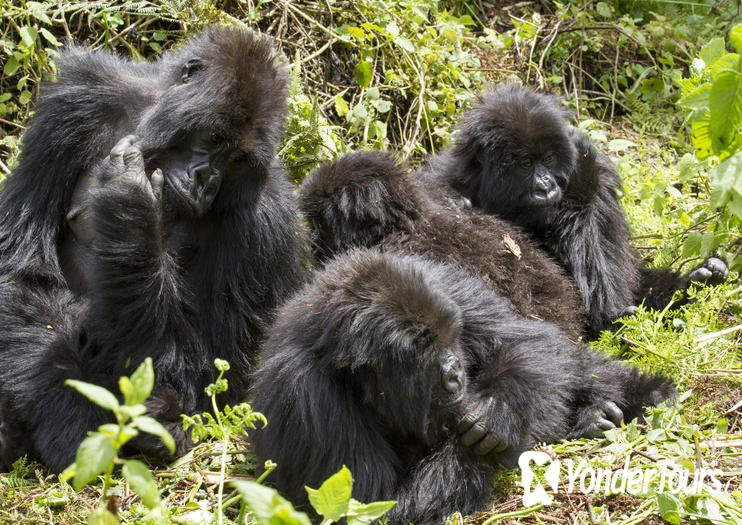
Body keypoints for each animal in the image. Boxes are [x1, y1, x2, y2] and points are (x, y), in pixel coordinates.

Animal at [0, 27, 306, 470]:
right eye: (214, 138)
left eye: (237, 159)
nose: (206, 180)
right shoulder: (79, 100)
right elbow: (20, 272)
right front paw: (65, 406)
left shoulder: (268, 221)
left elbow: (208, 379)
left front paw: (130, 211)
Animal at [253, 249, 676, 524]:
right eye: (423, 352)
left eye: (446, 338)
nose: (455, 372)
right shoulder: (306, 396)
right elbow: (371, 509)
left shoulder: (441, 283)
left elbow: (527, 341)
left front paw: (498, 416)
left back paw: (633, 397)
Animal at [430, 84, 732, 334]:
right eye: (526, 164)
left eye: (549, 159)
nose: (546, 186)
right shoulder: (443, 181)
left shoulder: (601, 182)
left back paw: (695, 283)